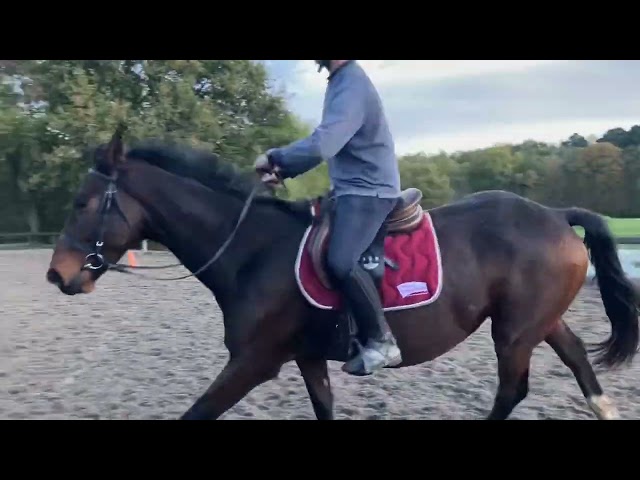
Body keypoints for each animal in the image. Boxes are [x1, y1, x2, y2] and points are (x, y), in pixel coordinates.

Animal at [46, 127, 640, 420]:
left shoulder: (252, 363)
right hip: (535, 321)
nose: (57, 275)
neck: (254, 249)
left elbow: (198, 413)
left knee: (513, 390)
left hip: (513, 333)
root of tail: (554, 214)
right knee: (576, 357)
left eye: (82, 202)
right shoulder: (307, 357)